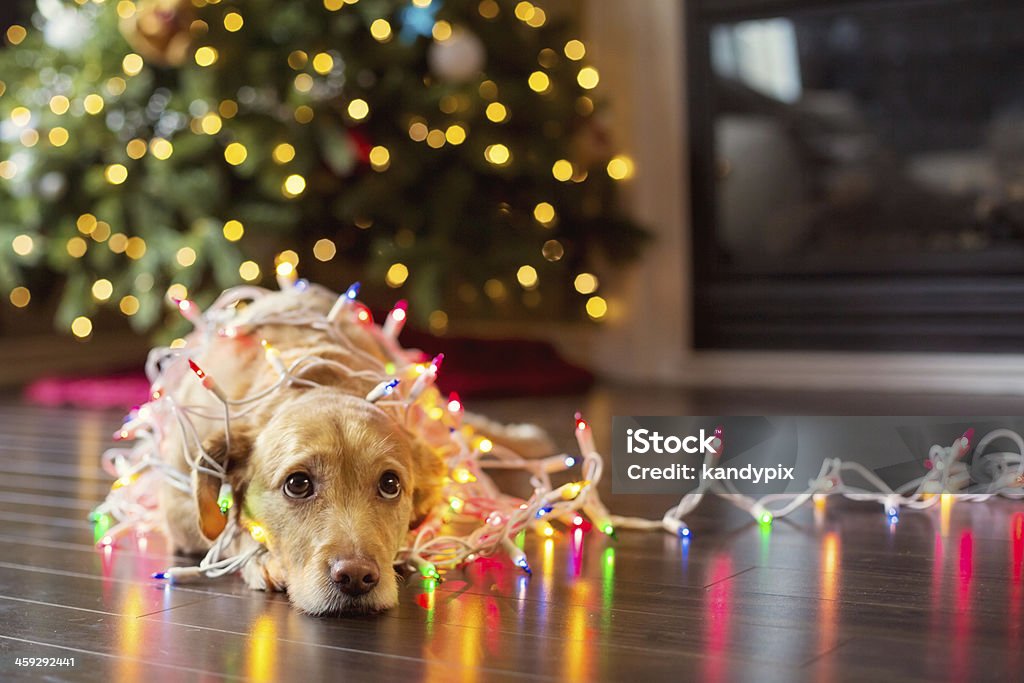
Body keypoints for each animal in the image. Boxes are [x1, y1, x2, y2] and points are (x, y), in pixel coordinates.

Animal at [160, 286, 557, 618]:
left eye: (390, 484)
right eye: (298, 484)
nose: (355, 576)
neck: (315, 378)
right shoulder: (176, 505)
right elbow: (225, 528)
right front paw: (259, 558)